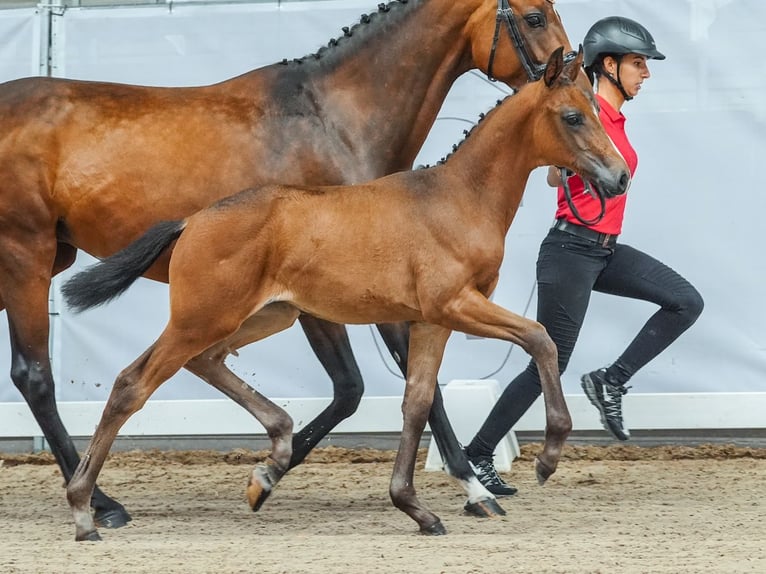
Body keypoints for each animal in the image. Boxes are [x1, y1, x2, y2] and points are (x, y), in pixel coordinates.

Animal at [0, 0, 580, 528]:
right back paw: (101, 502)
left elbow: (359, 390)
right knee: (37, 376)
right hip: (27, 256)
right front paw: (471, 488)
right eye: (534, 16)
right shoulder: (353, 298)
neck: (333, 120)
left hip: (50, 261)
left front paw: (274, 469)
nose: (575, 70)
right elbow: (394, 389)